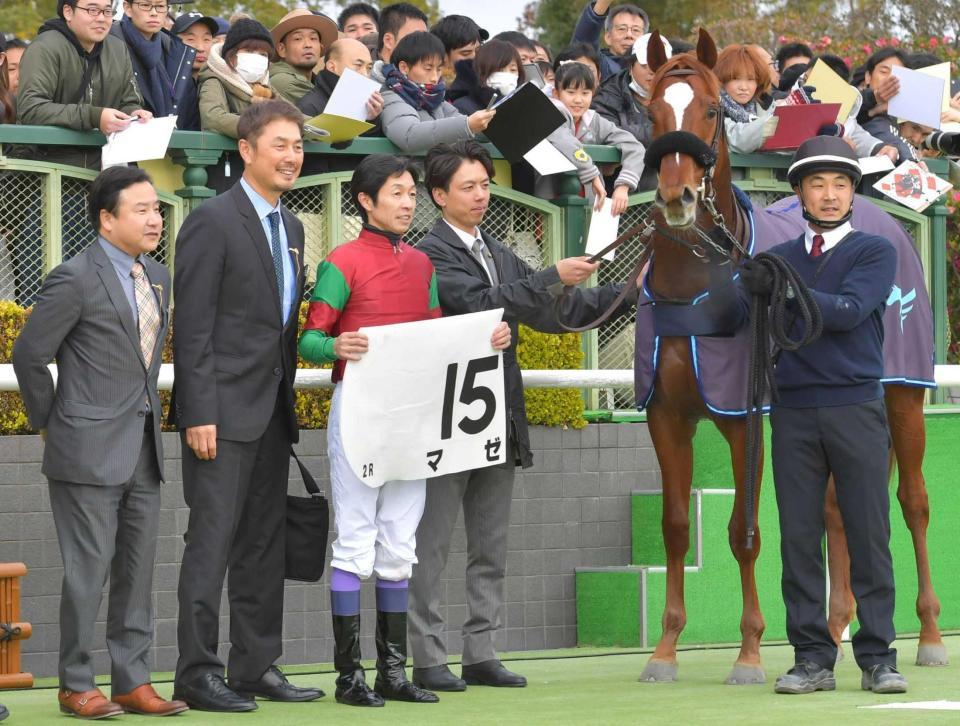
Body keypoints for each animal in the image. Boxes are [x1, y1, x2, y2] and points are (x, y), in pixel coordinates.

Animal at [636, 27, 944, 684]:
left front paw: (750, 652)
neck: (697, 283)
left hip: (903, 396)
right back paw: (835, 630)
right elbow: (675, 528)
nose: (676, 198)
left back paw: (929, 634)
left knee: (912, 503)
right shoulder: (664, 416)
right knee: (839, 507)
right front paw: (665, 650)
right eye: (652, 113)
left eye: (711, 110)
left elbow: (744, 531)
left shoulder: (740, 418)